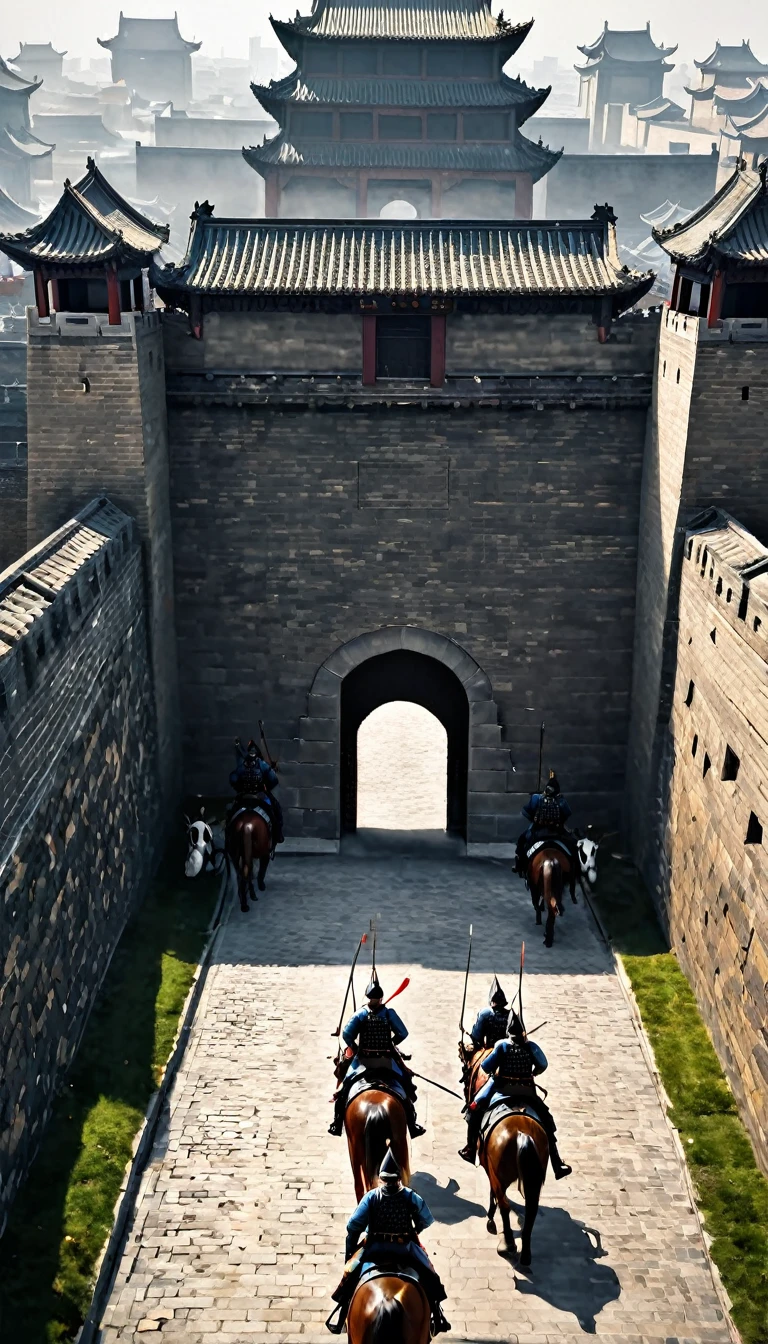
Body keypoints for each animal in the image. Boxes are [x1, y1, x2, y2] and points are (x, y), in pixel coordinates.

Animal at [465, 1042, 548, 1263]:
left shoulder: (490, 1170)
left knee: (504, 1205)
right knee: (531, 1209)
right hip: (534, 1179)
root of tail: (522, 1134)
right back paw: (525, 1254)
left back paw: (507, 1243)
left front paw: (490, 1219)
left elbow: (494, 1195)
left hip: (500, 1176)